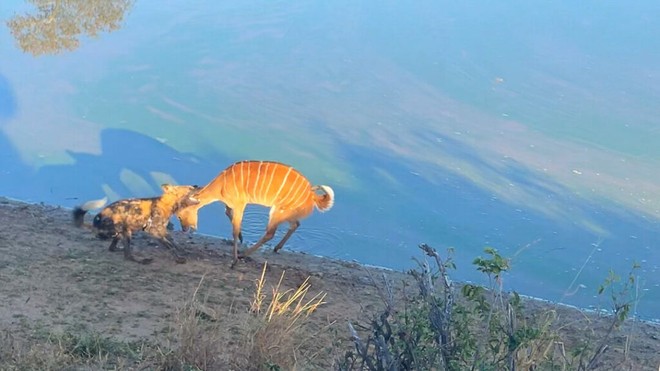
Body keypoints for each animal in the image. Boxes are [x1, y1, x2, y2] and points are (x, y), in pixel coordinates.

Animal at [175, 160, 336, 268]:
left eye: (180, 215)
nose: (184, 229)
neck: (221, 185)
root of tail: (312, 195)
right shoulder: (230, 204)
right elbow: (228, 213)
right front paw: (241, 238)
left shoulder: (240, 203)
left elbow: (234, 229)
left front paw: (234, 260)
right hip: (288, 212)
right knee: (295, 224)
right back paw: (277, 248)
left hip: (277, 210)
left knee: (270, 233)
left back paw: (243, 254)